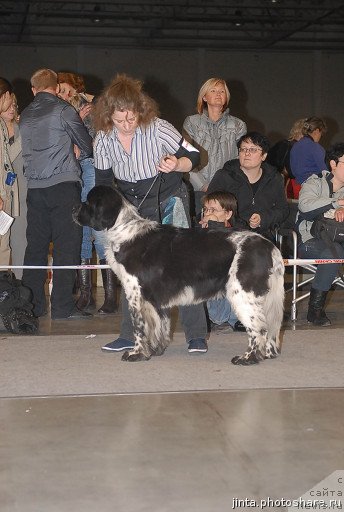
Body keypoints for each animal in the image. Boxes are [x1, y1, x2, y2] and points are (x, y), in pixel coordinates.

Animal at [75, 186, 284, 366]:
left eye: (88, 201)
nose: (73, 209)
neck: (124, 231)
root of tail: (269, 246)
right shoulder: (156, 300)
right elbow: (160, 326)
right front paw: (156, 351)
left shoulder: (136, 295)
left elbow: (140, 328)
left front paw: (137, 354)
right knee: (270, 327)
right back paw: (268, 354)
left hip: (241, 294)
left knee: (259, 329)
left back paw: (248, 358)